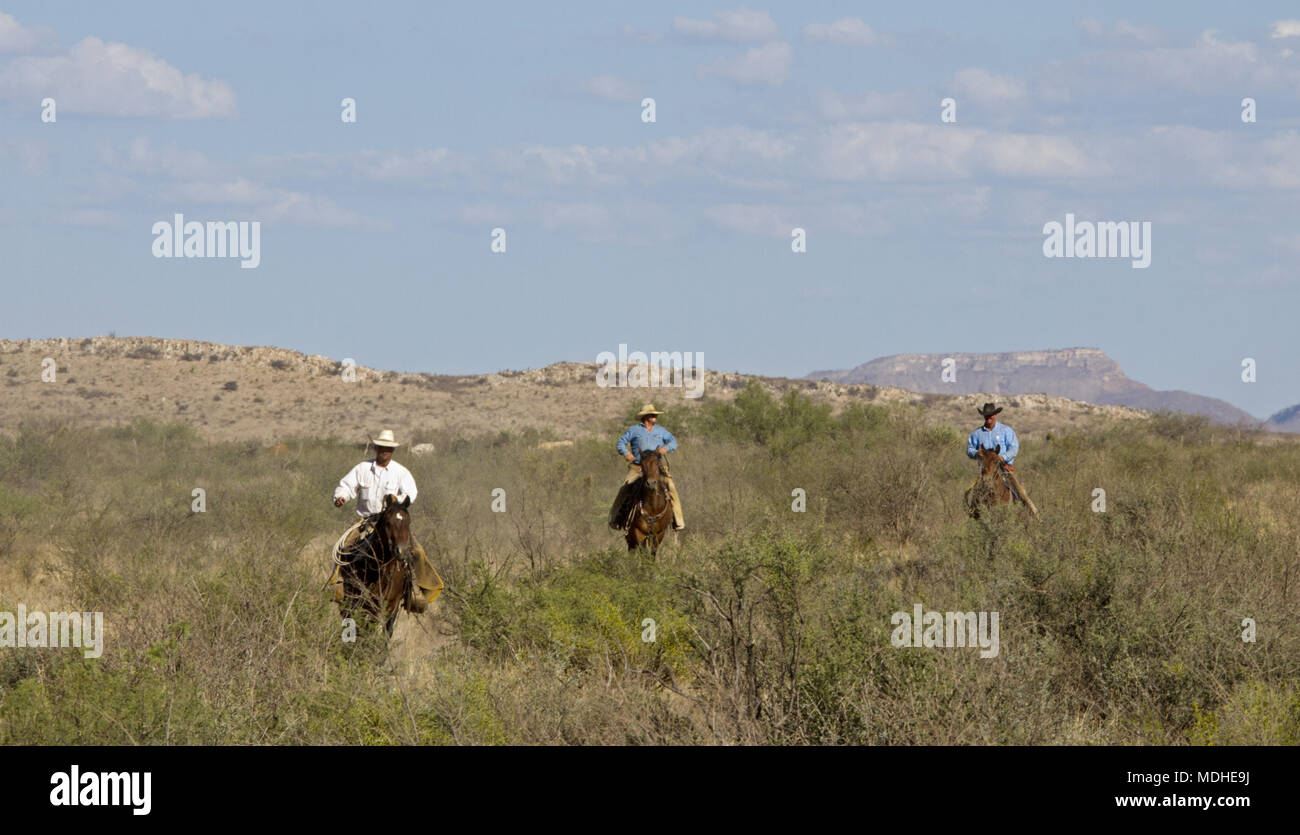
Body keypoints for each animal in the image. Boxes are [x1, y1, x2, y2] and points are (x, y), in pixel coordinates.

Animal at [335, 494, 416, 637]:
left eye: (408, 523)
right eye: (388, 522)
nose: (400, 551)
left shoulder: (390, 606)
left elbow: (385, 631)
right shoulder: (366, 604)